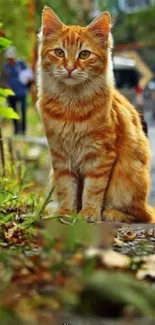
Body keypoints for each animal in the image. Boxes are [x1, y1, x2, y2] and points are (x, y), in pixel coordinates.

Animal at [37, 6, 155, 221]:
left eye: (84, 55)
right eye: (59, 52)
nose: (69, 68)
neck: (71, 105)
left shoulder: (100, 155)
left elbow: (93, 189)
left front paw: (89, 212)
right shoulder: (60, 156)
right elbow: (66, 188)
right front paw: (66, 212)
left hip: (127, 179)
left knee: (142, 215)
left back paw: (111, 213)